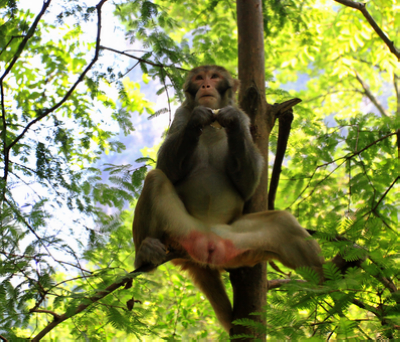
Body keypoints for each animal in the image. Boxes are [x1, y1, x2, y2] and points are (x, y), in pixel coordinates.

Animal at [133, 65, 324, 332]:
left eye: (213, 77)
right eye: (199, 78)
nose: (205, 86)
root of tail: (207, 241)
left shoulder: (246, 119)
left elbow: (248, 184)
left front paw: (230, 121)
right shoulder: (181, 113)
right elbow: (166, 169)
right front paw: (197, 119)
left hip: (237, 245)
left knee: (283, 224)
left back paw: (331, 279)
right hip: (179, 231)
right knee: (155, 180)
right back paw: (145, 255)